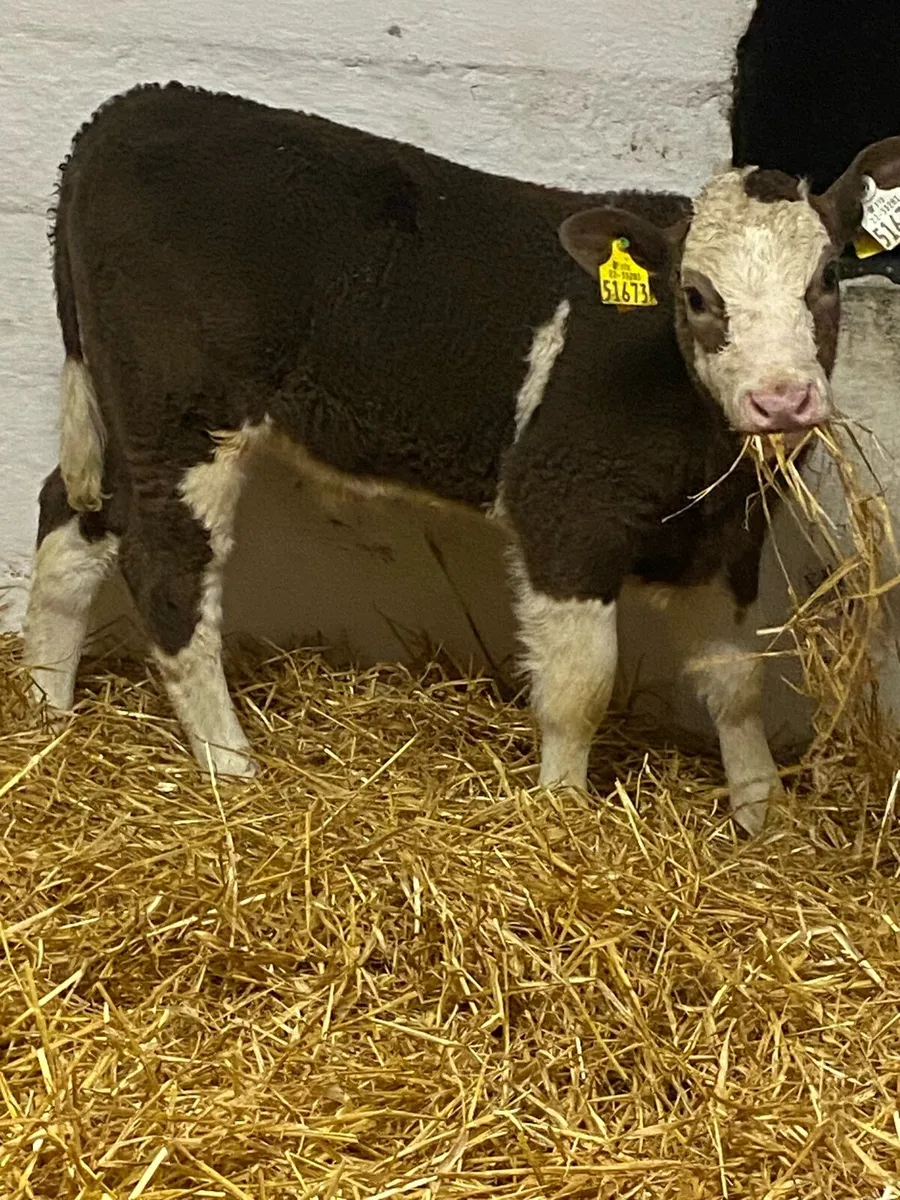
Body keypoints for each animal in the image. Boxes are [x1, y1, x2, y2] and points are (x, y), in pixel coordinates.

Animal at [21, 82, 900, 833]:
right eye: (695, 296)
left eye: (827, 278)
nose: (782, 400)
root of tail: (131, 109)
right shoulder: (564, 509)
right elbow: (580, 686)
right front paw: (561, 817)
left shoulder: (727, 536)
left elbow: (736, 683)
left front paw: (764, 818)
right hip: (183, 416)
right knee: (168, 571)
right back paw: (229, 767)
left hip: (121, 416)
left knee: (72, 517)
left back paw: (44, 714)